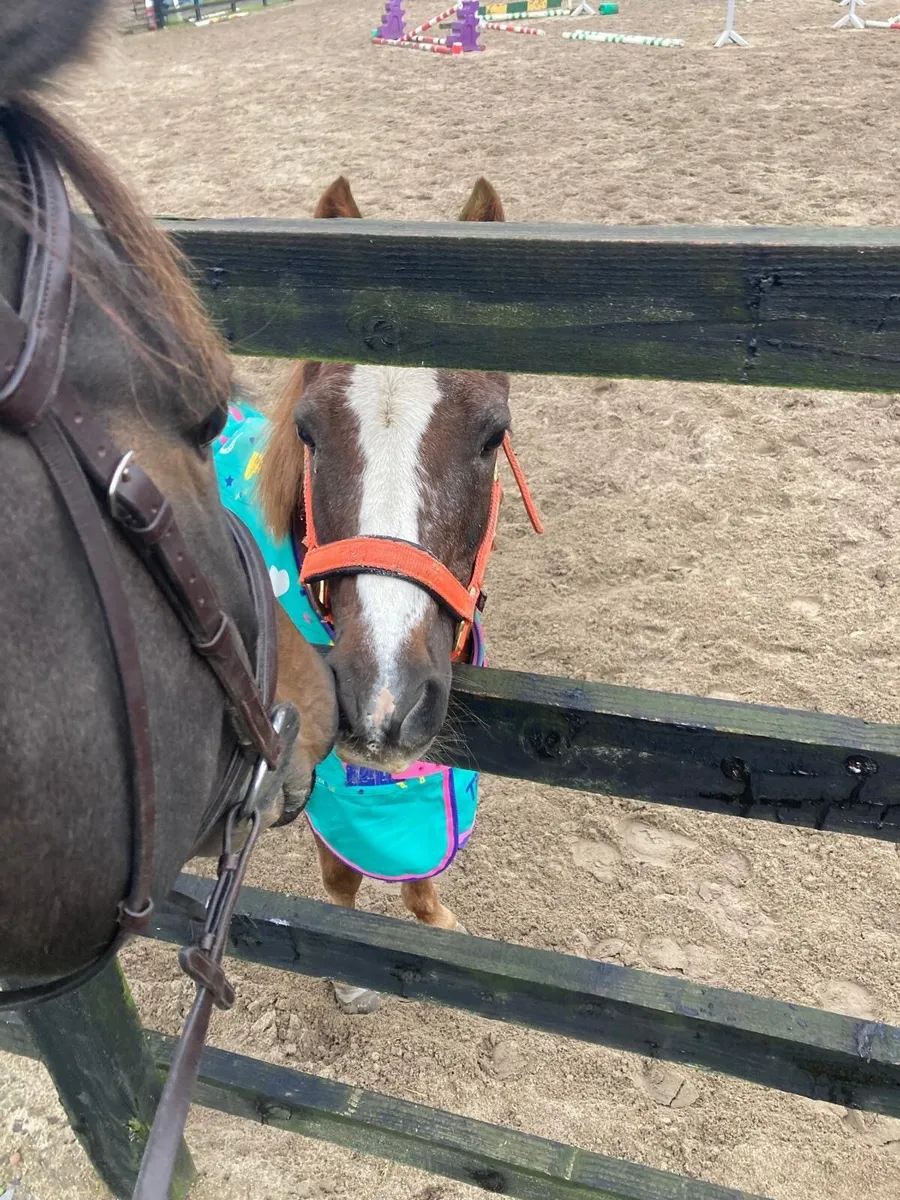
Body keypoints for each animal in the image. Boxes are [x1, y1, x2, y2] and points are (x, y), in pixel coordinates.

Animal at [243, 175, 542, 1012]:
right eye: (309, 431)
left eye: (491, 433)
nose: (382, 705)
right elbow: (343, 875)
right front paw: (351, 971)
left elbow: (419, 867)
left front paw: (434, 924)